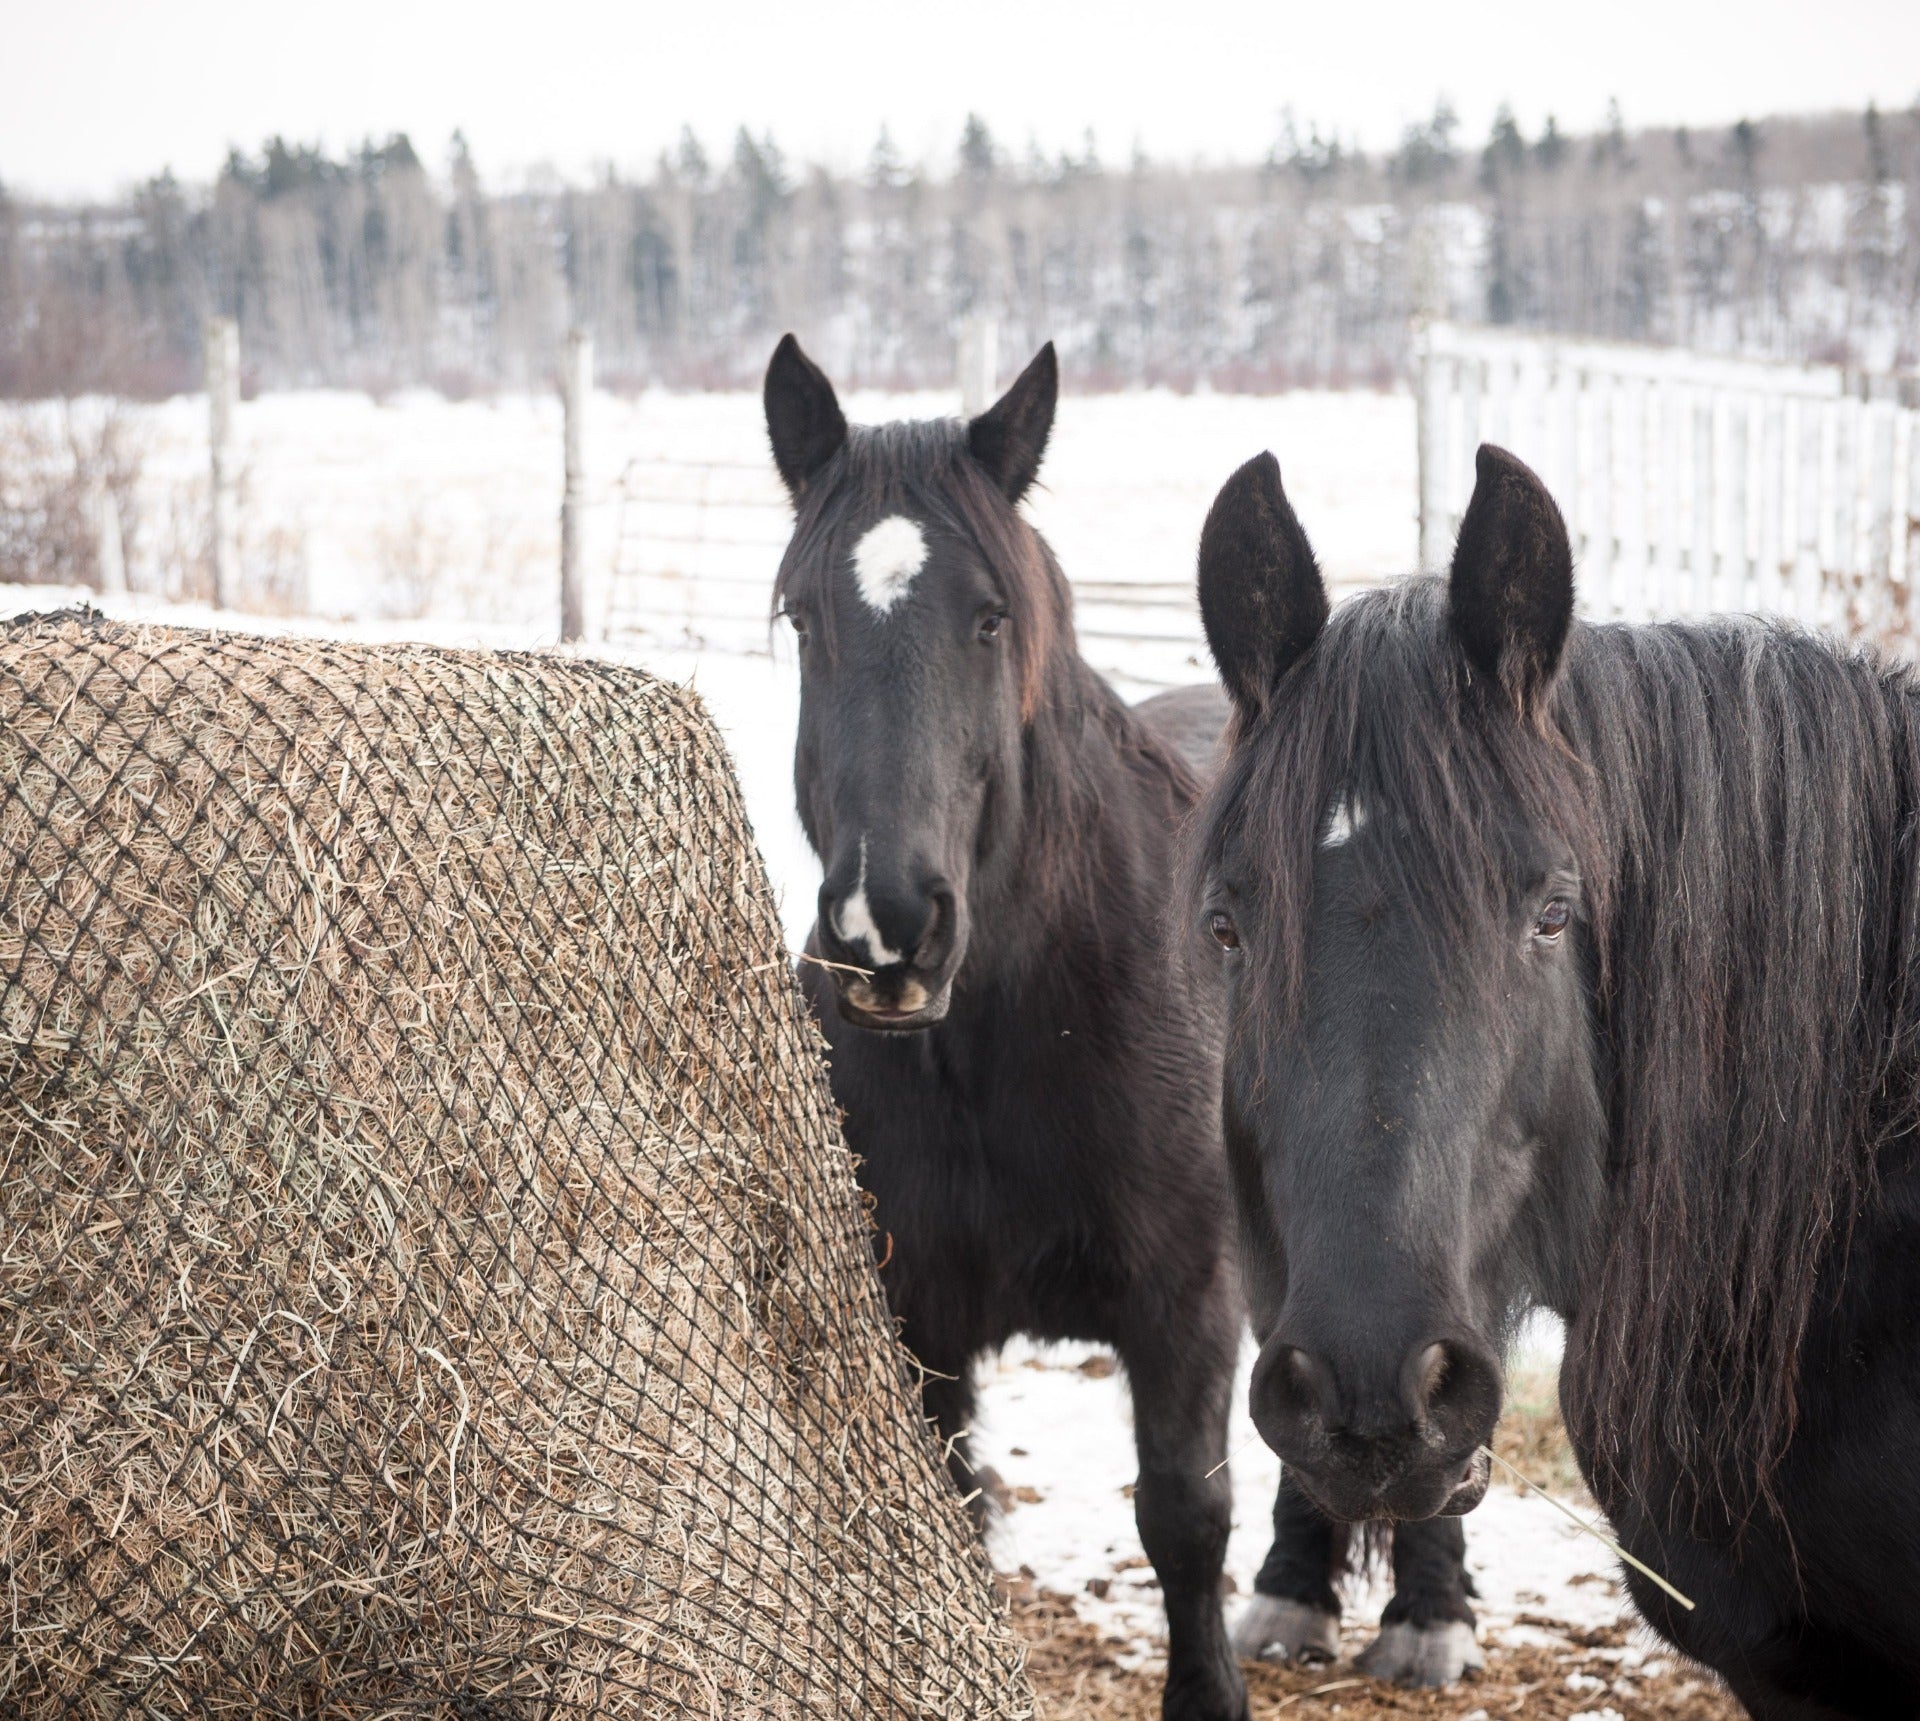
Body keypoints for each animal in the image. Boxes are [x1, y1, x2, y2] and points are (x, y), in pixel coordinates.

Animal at [764, 332, 1497, 1705]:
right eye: (803, 618)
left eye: (991, 616)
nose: (888, 923)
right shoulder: (917, 1316)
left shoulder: (1178, 1304)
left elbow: (1181, 1515)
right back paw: (1295, 1594)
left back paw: (1424, 1615)